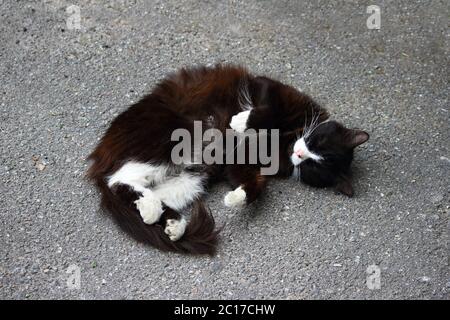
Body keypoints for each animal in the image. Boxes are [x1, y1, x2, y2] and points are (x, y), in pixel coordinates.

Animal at [87, 64, 370, 255]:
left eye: (313, 166)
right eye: (317, 144)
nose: (301, 154)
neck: (287, 138)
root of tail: (102, 153)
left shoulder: (241, 160)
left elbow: (255, 186)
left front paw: (235, 198)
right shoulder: (269, 88)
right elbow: (269, 110)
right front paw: (240, 121)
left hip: (194, 178)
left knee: (134, 187)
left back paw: (170, 222)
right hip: (173, 135)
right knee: (117, 179)